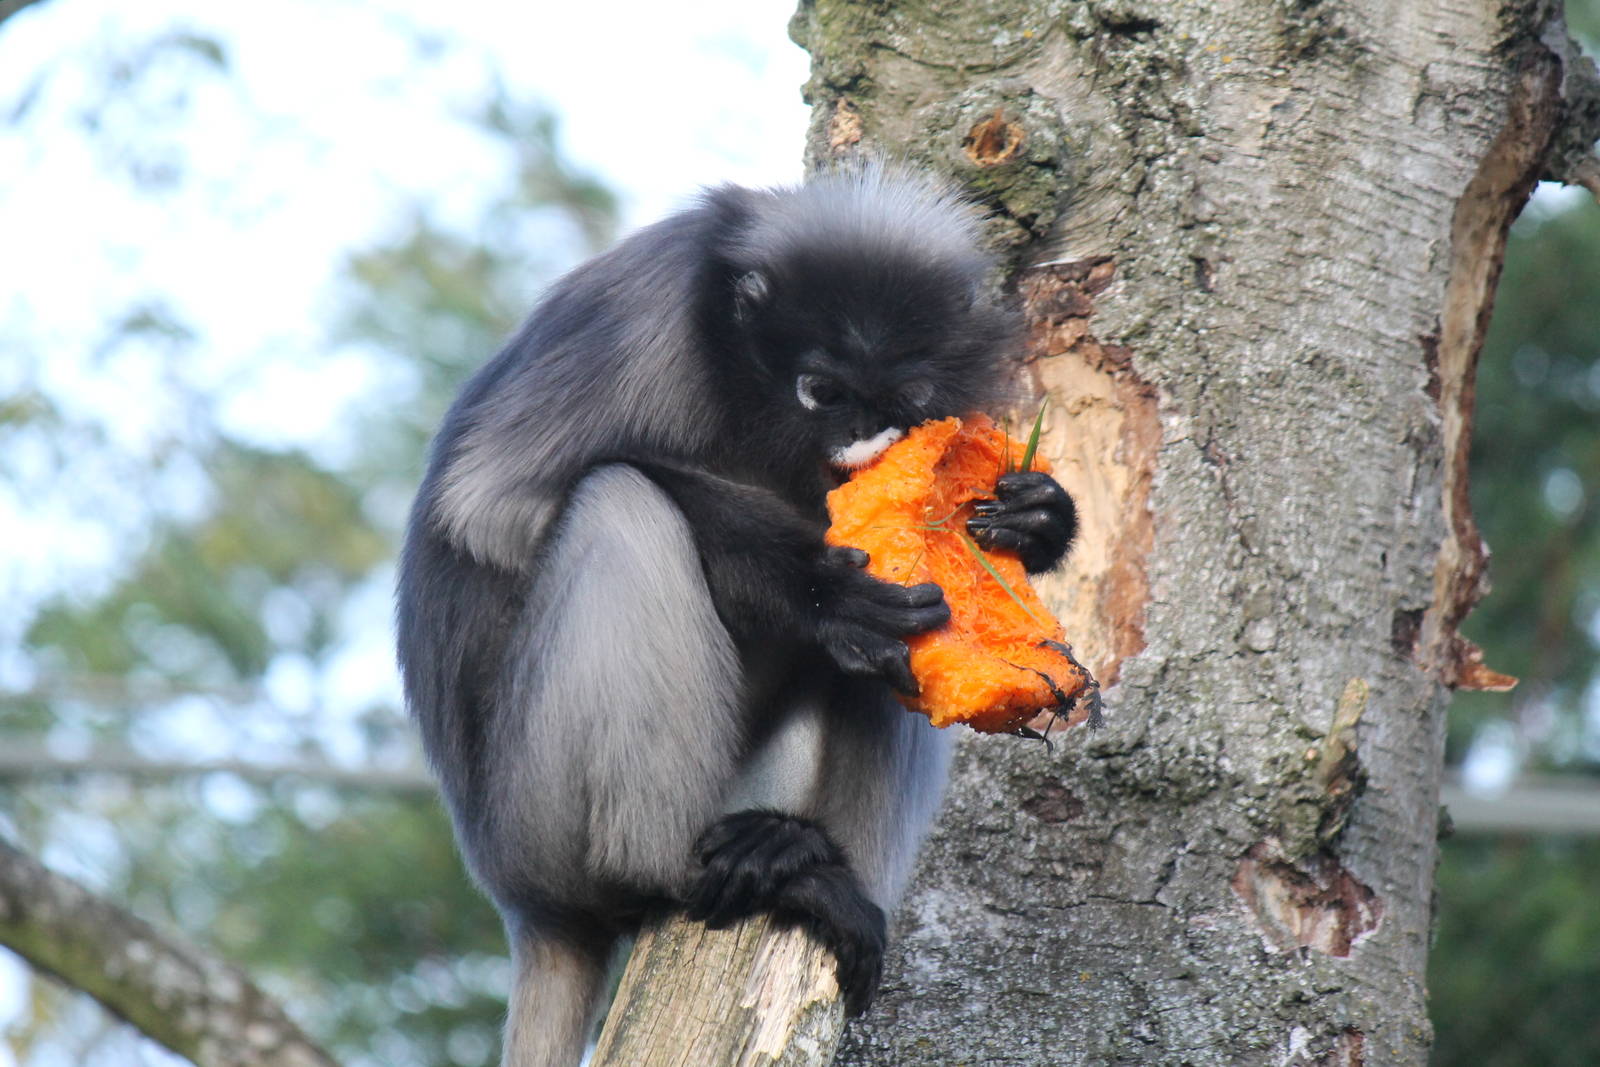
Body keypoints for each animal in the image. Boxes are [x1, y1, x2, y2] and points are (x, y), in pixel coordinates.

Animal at [395, 167, 1079, 1067]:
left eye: (900, 399)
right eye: (821, 390)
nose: (860, 442)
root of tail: (520, 903)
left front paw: (1039, 519)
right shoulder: (643, 319)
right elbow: (495, 509)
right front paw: (809, 587)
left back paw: (807, 862)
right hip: (534, 818)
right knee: (619, 499)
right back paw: (678, 870)